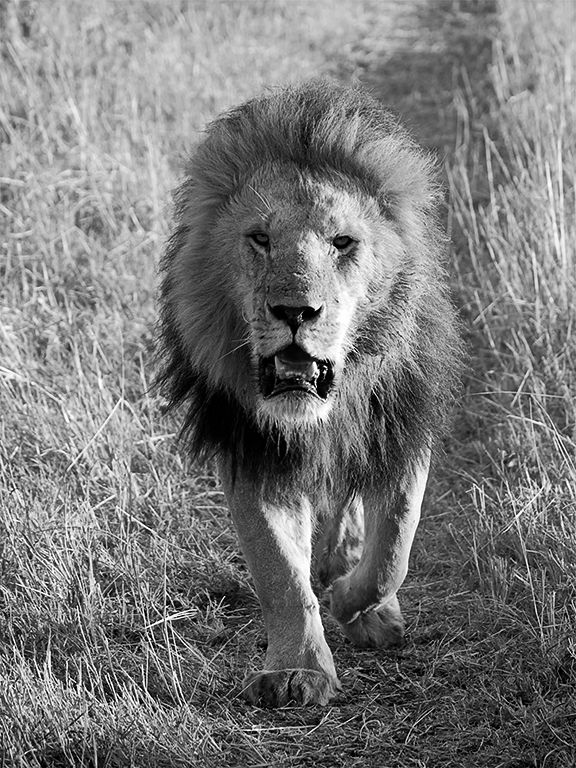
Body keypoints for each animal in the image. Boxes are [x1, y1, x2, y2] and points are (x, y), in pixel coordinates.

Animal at [158, 81, 462, 707]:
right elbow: (279, 570)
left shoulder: (401, 428)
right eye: (260, 239)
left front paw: (355, 605)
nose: (295, 311)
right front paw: (297, 670)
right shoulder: (252, 449)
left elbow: (394, 546)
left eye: (342, 242)